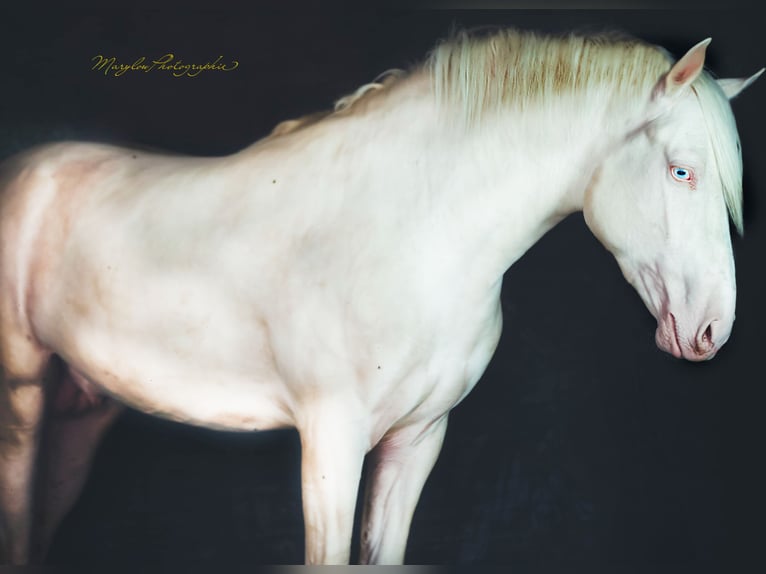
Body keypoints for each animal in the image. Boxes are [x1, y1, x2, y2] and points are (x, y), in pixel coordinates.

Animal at [0, 29, 760, 564]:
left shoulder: (417, 441)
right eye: (683, 171)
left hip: (82, 413)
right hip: (23, 406)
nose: (712, 331)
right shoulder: (330, 446)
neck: (409, 233)